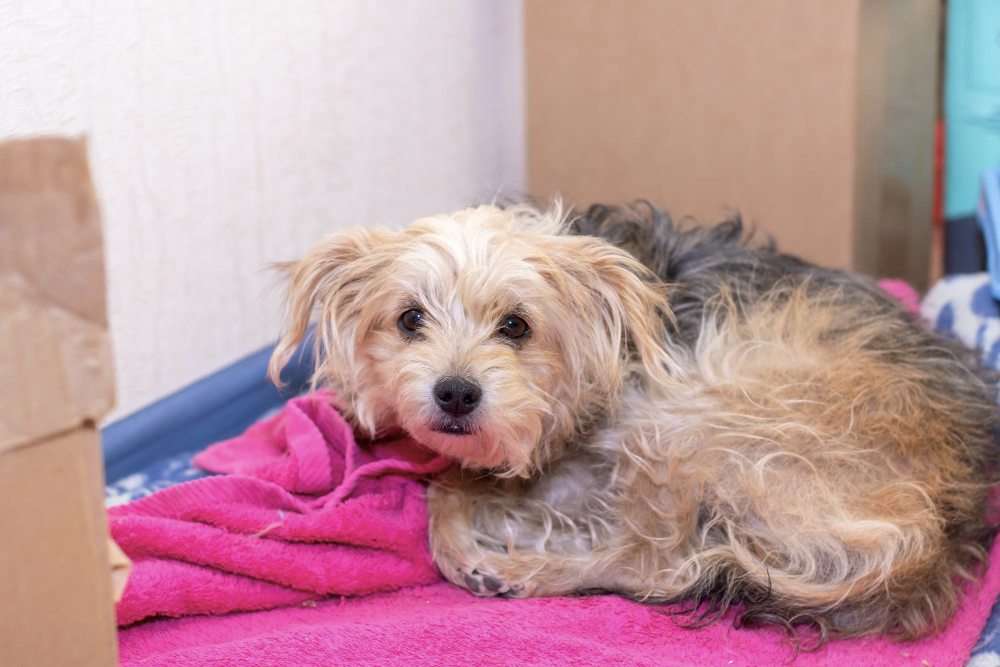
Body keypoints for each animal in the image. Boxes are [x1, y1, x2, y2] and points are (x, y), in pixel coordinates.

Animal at [268, 202, 1000, 640]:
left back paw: (532, 570)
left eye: (517, 326)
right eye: (410, 318)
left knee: (658, 562)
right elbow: (448, 486)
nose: (454, 394)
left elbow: (446, 493)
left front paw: (474, 550)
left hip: (686, 413)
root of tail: (933, 539)